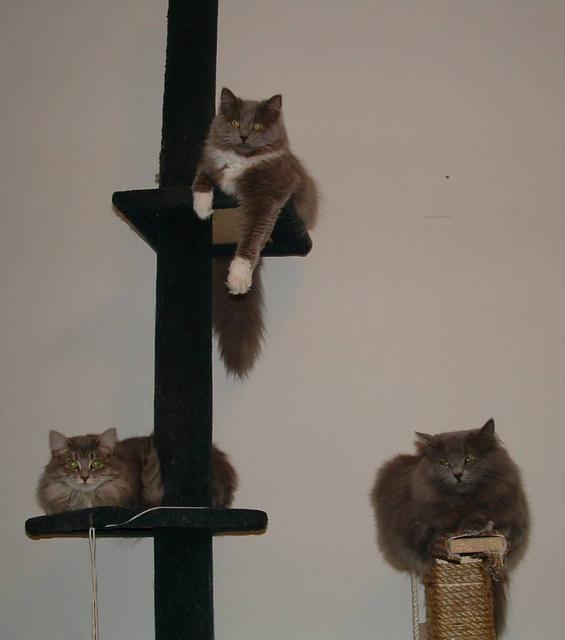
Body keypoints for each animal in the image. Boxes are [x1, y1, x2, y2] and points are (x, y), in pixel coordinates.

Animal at [192, 87, 319, 377]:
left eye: (259, 126)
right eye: (235, 123)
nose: (244, 135)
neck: (240, 162)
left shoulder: (266, 198)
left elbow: (251, 238)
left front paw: (239, 277)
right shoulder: (208, 164)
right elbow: (201, 177)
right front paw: (202, 208)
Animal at [371, 418, 529, 635]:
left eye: (469, 459)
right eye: (445, 463)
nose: (457, 474)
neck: (468, 499)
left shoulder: (515, 515)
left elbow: (508, 536)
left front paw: (492, 560)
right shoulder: (424, 529)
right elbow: (454, 522)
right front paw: (478, 523)